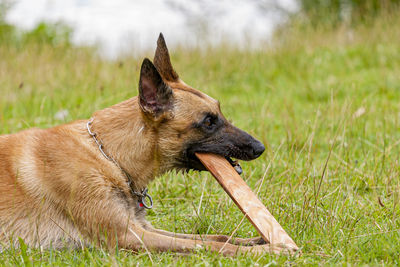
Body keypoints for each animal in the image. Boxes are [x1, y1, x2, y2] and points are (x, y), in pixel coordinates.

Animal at [0, 34, 288, 258]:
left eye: (220, 112)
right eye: (208, 121)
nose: (260, 148)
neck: (108, 155)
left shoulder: (143, 228)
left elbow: (212, 238)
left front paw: (257, 241)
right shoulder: (127, 236)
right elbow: (208, 246)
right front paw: (268, 250)